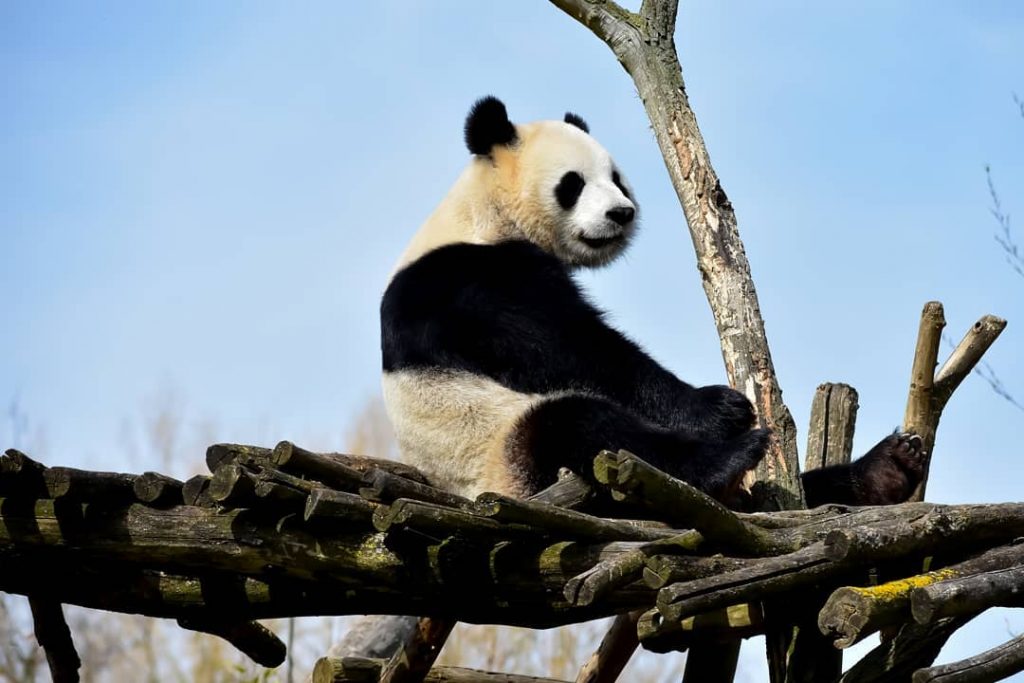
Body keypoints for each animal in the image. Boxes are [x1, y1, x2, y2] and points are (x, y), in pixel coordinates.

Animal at [381, 96, 925, 507]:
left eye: (616, 178)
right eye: (573, 184)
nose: (621, 213)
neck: (483, 213)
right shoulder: (471, 280)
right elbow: (568, 348)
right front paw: (719, 406)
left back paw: (884, 470)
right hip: (504, 453)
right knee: (580, 426)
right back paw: (727, 458)